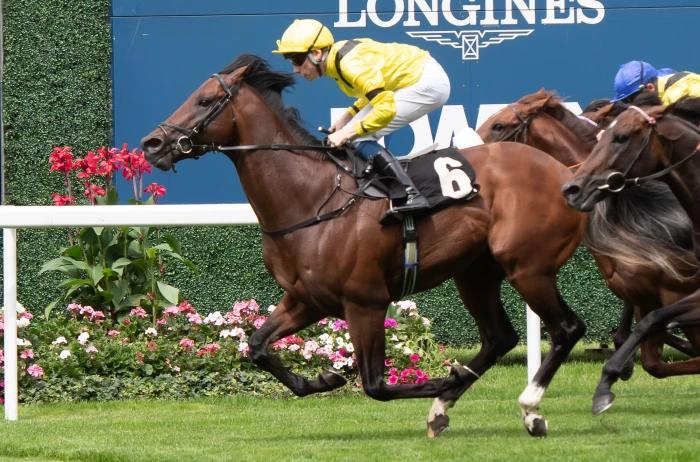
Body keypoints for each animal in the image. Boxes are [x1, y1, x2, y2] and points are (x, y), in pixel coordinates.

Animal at [141, 56, 584, 438]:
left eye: (204, 101)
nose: (152, 143)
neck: (311, 199)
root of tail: (565, 173)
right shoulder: (306, 299)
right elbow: (257, 346)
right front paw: (323, 377)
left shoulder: (365, 301)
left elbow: (376, 385)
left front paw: (443, 377)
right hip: (475, 273)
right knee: (499, 338)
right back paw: (444, 408)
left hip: (528, 267)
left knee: (567, 328)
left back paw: (528, 409)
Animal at [560, 101, 700, 416]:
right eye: (600, 137)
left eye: (621, 137)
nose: (572, 189)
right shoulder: (643, 294)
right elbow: (648, 330)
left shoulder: (672, 287)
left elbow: (653, 323)